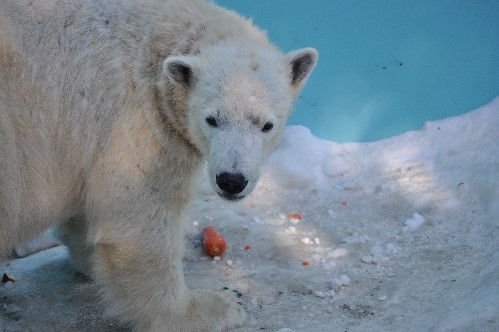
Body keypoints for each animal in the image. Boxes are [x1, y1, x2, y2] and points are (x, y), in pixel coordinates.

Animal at [0, 0, 318, 330]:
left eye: (266, 125)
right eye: (212, 119)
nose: (232, 180)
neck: (151, 43)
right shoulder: (133, 123)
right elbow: (140, 225)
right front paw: (217, 305)